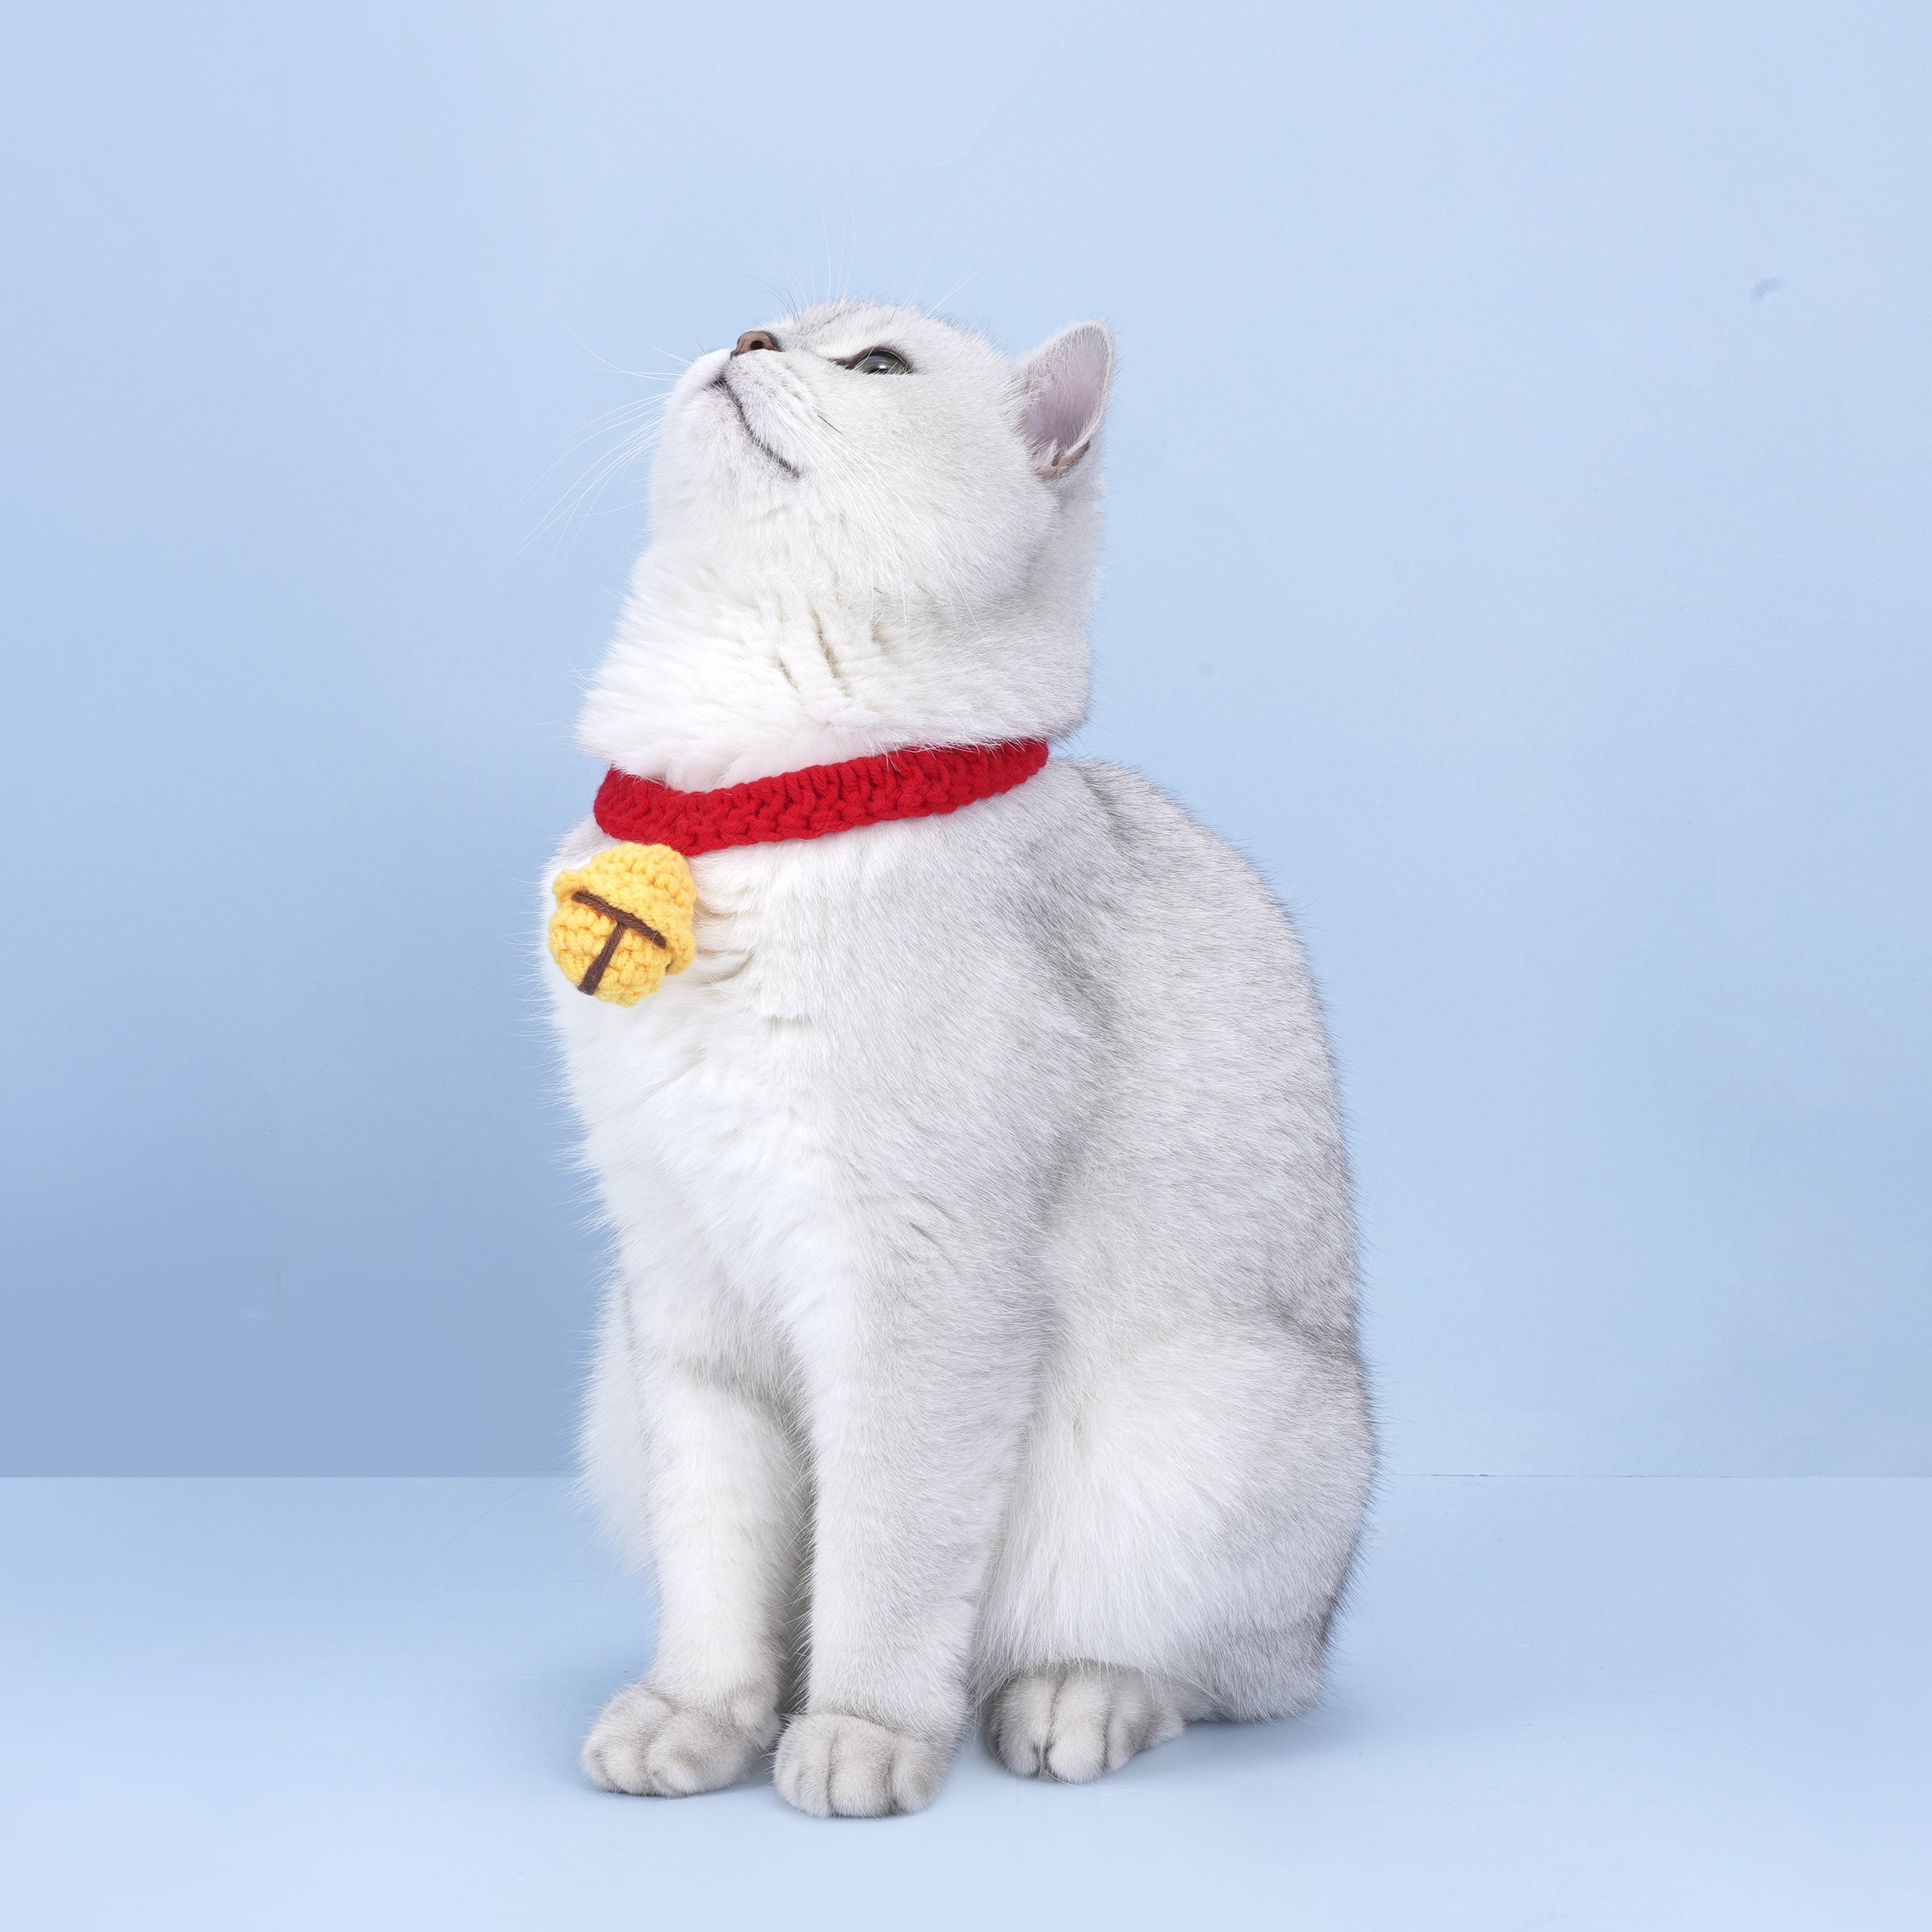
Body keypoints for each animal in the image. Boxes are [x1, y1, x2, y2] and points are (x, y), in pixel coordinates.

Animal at [547, 302, 1372, 1817]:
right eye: (769, 319)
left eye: (874, 368)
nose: (749, 337)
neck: (741, 808)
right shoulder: (683, 1281)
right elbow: (720, 1571)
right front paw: (697, 1719)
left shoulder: (914, 1285)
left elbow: (882, 1564)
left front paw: (859, 1737)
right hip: (614, 1396)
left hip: (1203, 1437)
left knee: (1219, 1679)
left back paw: (1069, 1701)